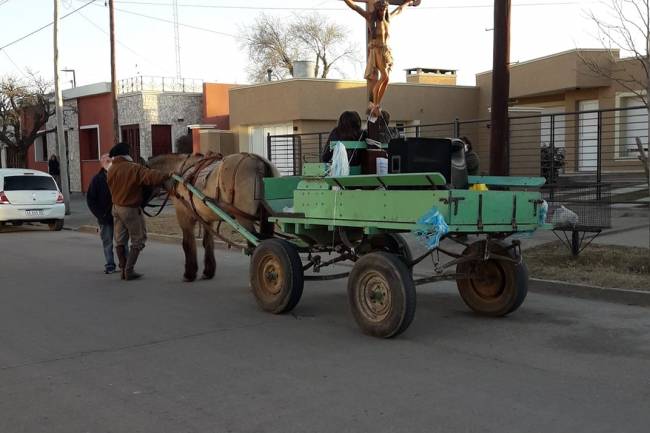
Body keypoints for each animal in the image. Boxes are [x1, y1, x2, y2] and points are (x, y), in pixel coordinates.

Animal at [148, 154, 280, 282]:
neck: (179, 171)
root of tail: (257, 161)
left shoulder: (184, 216)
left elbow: (187, 243)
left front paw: (189, 273)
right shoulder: (206, 219)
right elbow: (208, 243)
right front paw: (208, 271)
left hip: (244, 219)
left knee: (254, 245)